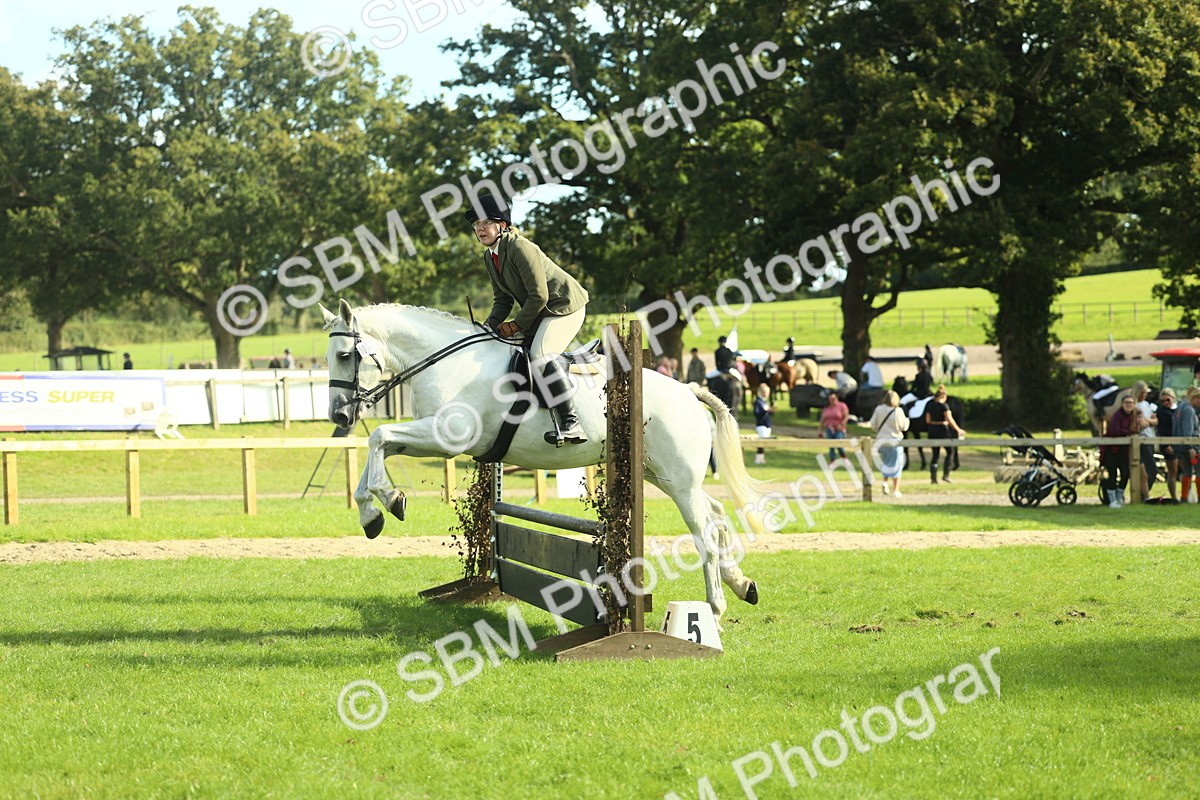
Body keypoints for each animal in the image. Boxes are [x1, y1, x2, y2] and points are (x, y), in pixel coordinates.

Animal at [319, 300, 761, 623]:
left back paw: (716, 608)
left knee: (704, 530)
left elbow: (378, 436)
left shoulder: (445, 436)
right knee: (716, 513)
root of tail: (687, 390)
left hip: (678, 479)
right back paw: (742, 584)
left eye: (345, 355)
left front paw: (386, 502)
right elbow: (379, 445)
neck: (444, 362)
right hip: (661, 475)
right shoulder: (433, 437)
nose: (338, 416)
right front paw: (375, 511)